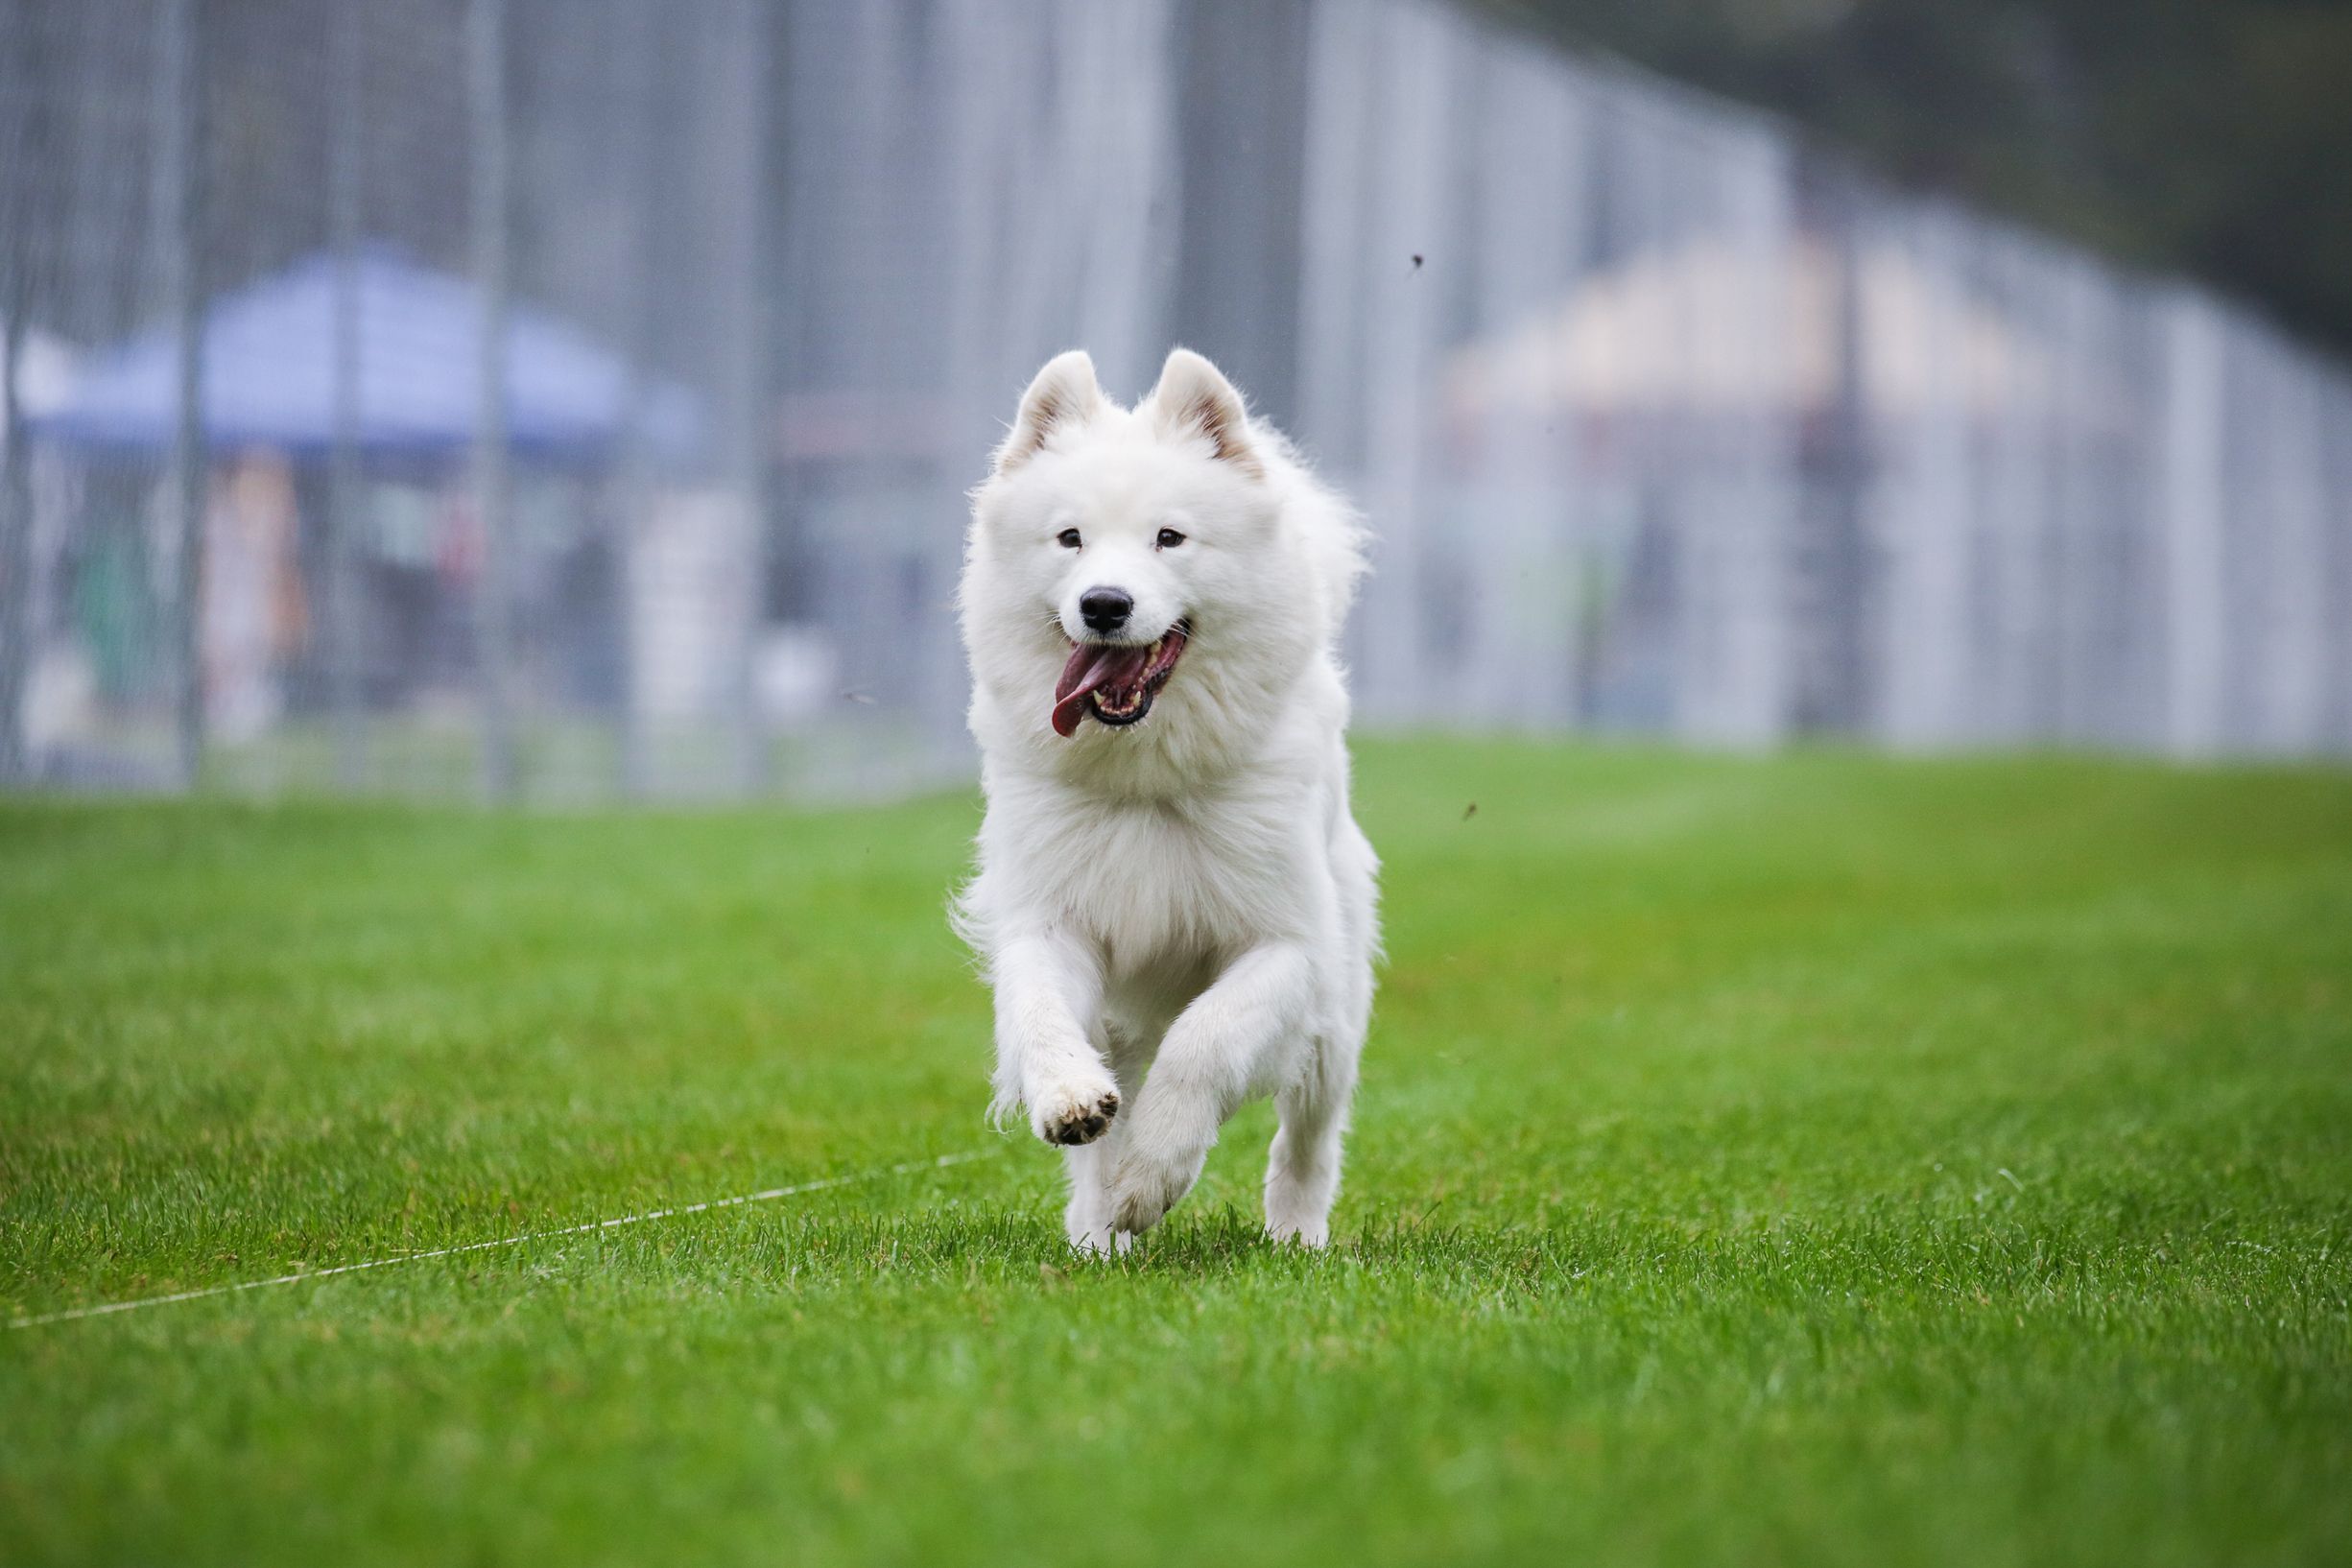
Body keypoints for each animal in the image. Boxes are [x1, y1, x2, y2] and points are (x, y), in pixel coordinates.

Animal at [950, 350, 1373, 1260]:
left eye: (1168, 538)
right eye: (1070, 539)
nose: (1103, 604)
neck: (1144, 782)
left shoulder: (1286, 946)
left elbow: (1204, 1041)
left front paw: (1154, 1178)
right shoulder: (1052, 920)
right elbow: (1040, 1014)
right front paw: (1072, 1106)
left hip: (1335, 1019)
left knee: (1309, 1136)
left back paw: (1295, 1236)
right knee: (1104, 1131)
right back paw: (1096, 1235)